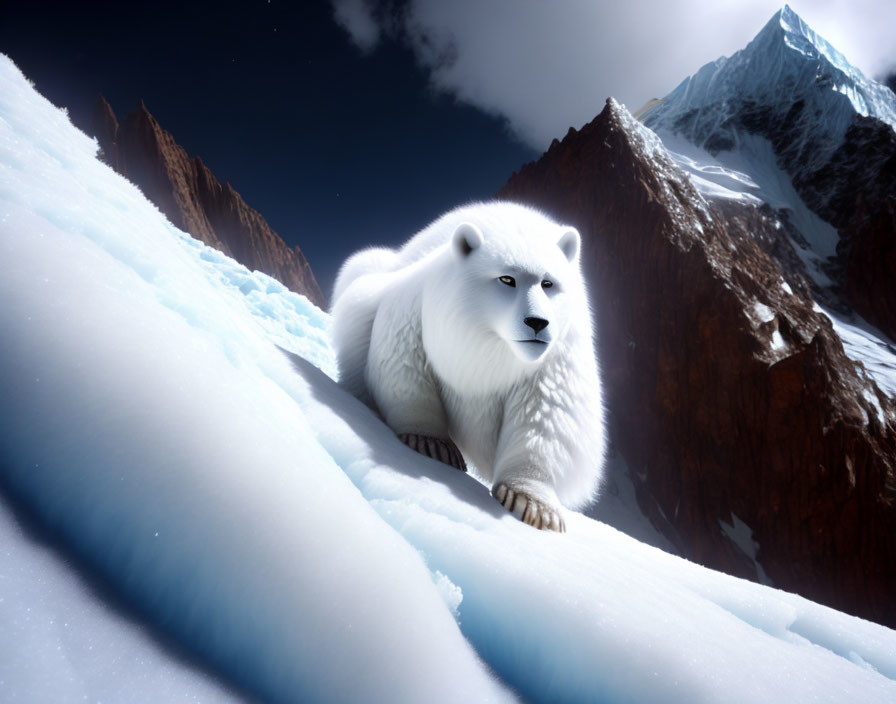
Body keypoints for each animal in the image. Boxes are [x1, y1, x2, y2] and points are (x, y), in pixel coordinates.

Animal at [332, 201, 604, 532]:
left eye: (548, 283)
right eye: (507, 278)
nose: (538, 322)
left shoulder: (553, 358)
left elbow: (547, 414)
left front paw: (534, 506)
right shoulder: (420, 310)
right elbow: (404, 365)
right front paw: (433, 444)